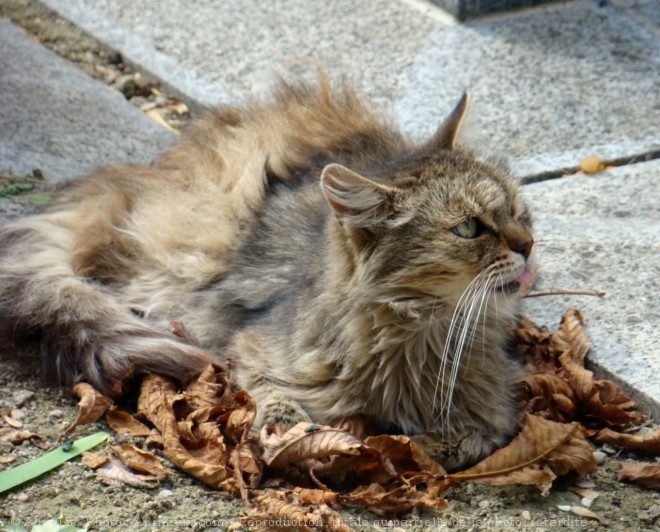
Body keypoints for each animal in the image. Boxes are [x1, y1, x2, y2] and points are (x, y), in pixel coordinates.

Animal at [0, 80, 536, 470]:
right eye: (468, 228)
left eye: (517, 210)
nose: (528, 246)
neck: (420, 335)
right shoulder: (251, 348)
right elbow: (277, 404)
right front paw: (301, 437)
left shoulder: (493, 416)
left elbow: (453, 446)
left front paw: (400, 448)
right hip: (193, 248)